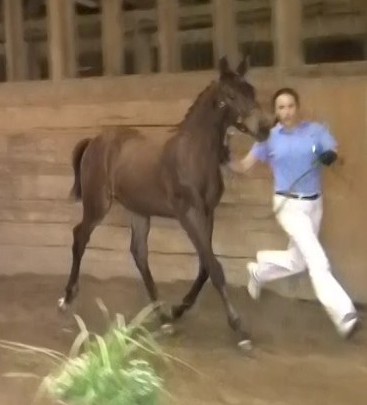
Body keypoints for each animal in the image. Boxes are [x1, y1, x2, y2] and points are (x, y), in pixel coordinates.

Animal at [59, 57, 272, 350]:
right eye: (230, 96)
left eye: (251, 90)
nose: (264, 128)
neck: (193, 154)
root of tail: (94, 141)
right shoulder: (188, 214)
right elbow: (215, 268)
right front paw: (240, 330)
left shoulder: (208, 213)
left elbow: (205, 266)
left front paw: (179, 309)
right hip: (97, 205)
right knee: (80, 237)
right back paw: (67, 299)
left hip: (138, 211)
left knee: (139, 253)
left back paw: (163, 316)